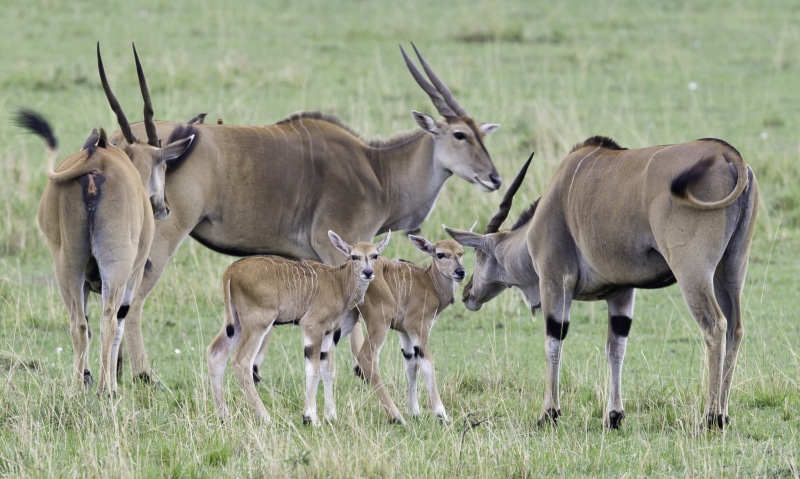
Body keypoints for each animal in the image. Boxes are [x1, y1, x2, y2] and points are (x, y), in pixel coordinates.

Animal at [13, 108, 190, 395]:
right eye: (163, 165)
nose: (165, 207)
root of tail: (96, 157)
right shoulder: (133, 276)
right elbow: (119, 323)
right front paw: (111, 383)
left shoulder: (84, 283)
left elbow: (85, 326)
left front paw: (87, 377)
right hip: (116, 269)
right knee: (109, 320)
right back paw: (106, 389)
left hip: (67, 269)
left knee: (79, 323)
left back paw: (78, 386)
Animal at [100, 43, 501, 384]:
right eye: (460, 135)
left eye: (482, 135)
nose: (494, 178)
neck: (376, 170)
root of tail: (121, 142)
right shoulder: (340, 249)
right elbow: (353, 314)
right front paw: (358, 370)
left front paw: (259, 370)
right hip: (159, 240)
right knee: (132, 302)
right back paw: (143, 374)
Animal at [206, 231, 391, 426]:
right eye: (354, 256)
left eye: (375, 255)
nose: (368, 272)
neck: (338, 281)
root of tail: (232, 270)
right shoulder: (312, 326)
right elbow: (313, 368)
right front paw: (310, 418)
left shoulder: (328, 332)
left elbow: (327, 370)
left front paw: (330, 416)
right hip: (257, 324)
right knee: (241, 361)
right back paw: (265, 417)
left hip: (236, 324)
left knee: (216, 353)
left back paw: (222, 414)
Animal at [353, 233, 465, 424]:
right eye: (441, 254)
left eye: (461, 252)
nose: (460, 271)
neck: (429, 283)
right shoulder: (418, 327)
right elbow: (427, 364)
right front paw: (441, 414)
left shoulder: (404, 333)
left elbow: (412, 365)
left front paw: (414, 412)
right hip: (379, 323)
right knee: (367, 357)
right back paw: (395, 416)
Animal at [447, 137, 758, 429]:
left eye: (479, 255)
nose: (467, 293)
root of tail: (727, 155)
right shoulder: (621, 292)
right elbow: (616, 347)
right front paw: (614, 415)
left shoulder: (555, 281)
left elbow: (553, 341)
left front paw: (549, 413)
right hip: (730, 271)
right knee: (735, 328)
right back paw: (724, 413)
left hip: (692, 271)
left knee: (715, 325)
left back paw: (710, 417)